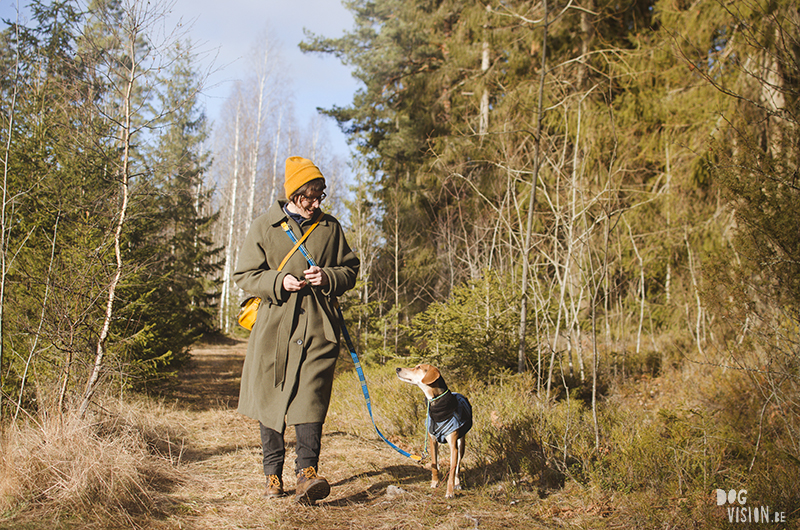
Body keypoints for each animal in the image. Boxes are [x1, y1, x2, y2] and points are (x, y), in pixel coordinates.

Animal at [396, 364, 472, 496]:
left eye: (418, 367)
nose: (397, 369)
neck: (436, 404)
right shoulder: (432, 441)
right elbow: (434, 465)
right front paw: (434, 482)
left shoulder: (454, 447)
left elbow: (452, 471)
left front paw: (450, 491)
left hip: (461, 444)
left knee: (457, 467)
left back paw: (457, 484)